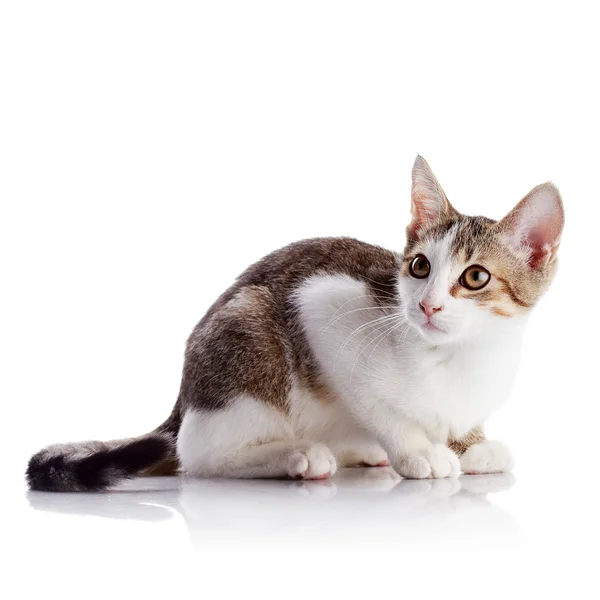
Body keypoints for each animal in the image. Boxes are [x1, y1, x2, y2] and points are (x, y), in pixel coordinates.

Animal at [27, 156, 564, 492]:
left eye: (475, 277)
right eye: (418, 267)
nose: (428, 306)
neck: (459, 356)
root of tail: (183, 397)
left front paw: (473, 446)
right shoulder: (324, 307)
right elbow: (380, 406)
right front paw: (417, 450)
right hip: (247, 337)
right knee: (197, 453)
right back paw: (296, 456)